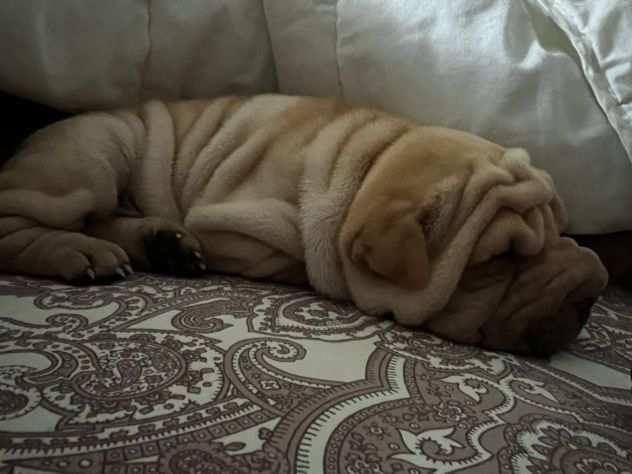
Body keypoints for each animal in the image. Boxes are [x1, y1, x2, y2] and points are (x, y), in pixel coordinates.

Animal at [0, 94, 608, 356]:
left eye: (559, 230)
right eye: (502, 258)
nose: (594, 286)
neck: (370, 161)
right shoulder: (237, 223)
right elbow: (294, 256)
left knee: (108, 220)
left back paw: (163, 244)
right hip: (94, 155)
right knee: (22, 224)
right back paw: (79, 253)